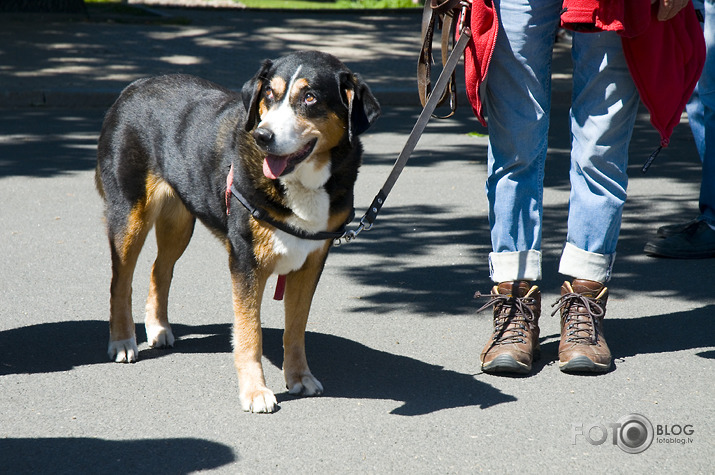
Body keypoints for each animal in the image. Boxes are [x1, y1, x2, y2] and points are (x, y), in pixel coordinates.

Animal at [99, 51, 386, 412]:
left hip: (179, 221)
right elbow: (250, 333)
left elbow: (295, 329)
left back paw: (158, 327)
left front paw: (299, 377)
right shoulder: (247, 261)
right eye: (269, 95)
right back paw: (123, 340)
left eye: (310, 97)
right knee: (120, 282)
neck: (300, 184)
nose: (263, 136)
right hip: (130, 214)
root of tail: (135, 85)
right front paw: (255, 391)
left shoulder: (310, 262)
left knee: (159, 270)